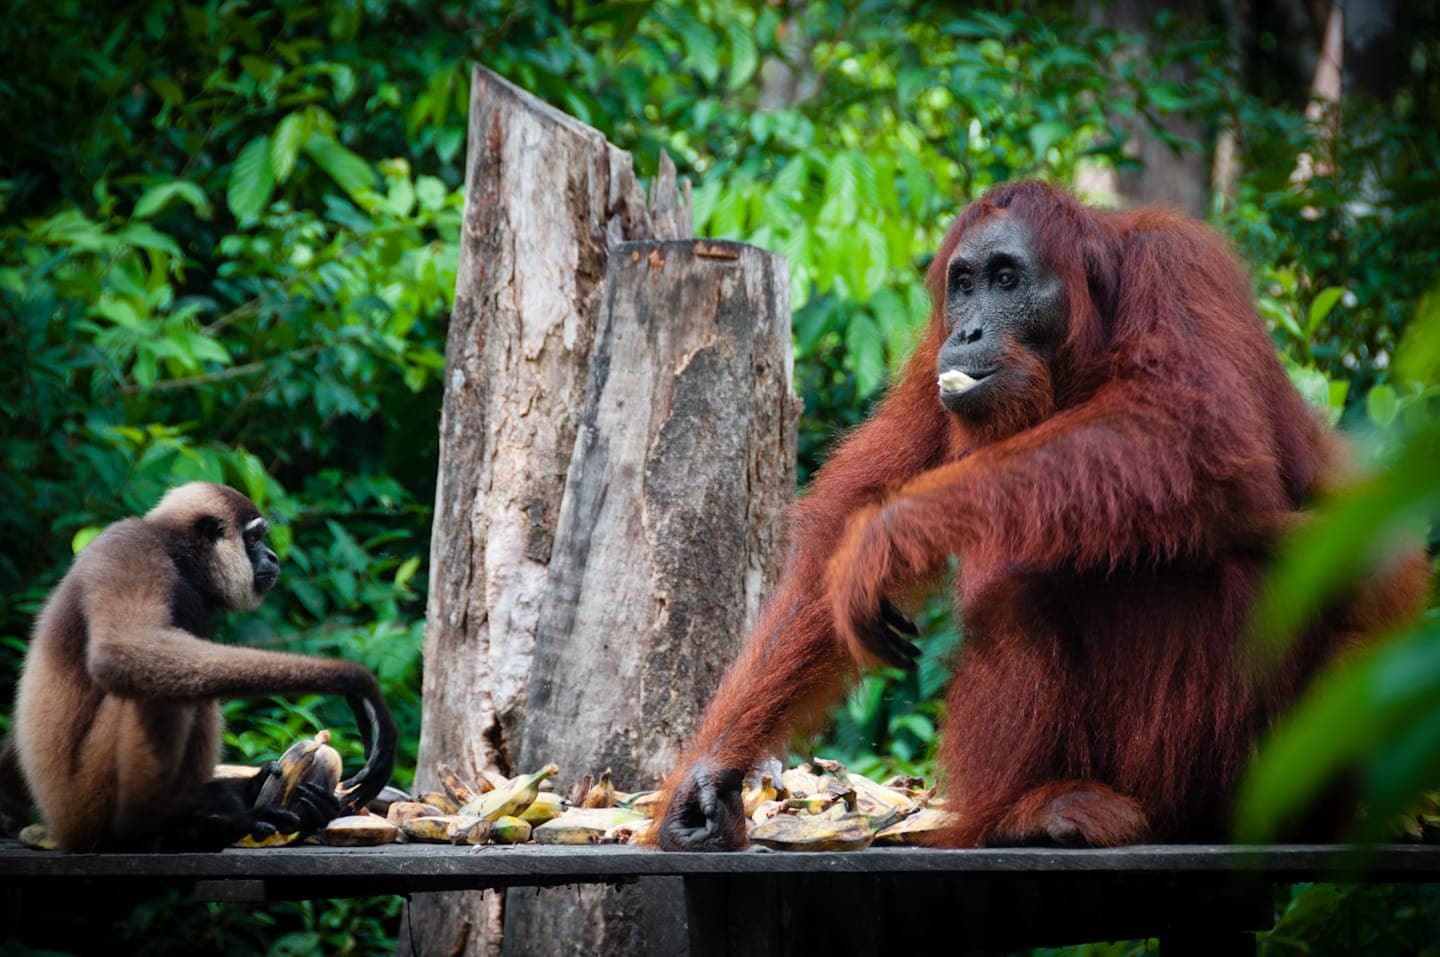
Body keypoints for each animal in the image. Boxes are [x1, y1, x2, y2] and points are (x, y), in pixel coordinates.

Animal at [0, 482, 397, 852]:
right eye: (254, 538)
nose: (271, 555)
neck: (174, 557)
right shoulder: (130, 549)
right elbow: (122, 651)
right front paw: (353, 682)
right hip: (85, 805)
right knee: (159, 691)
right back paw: (160, 830)